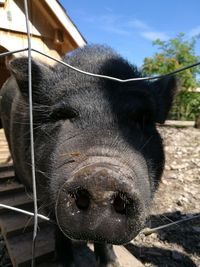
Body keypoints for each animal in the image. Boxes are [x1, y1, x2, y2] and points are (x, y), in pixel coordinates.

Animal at [0, 45, 176, 266]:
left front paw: (112, 263)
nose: (102, 177)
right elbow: (59, 230)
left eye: (144, 119)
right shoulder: (44, 191)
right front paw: (65, 263)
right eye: (61, 115)